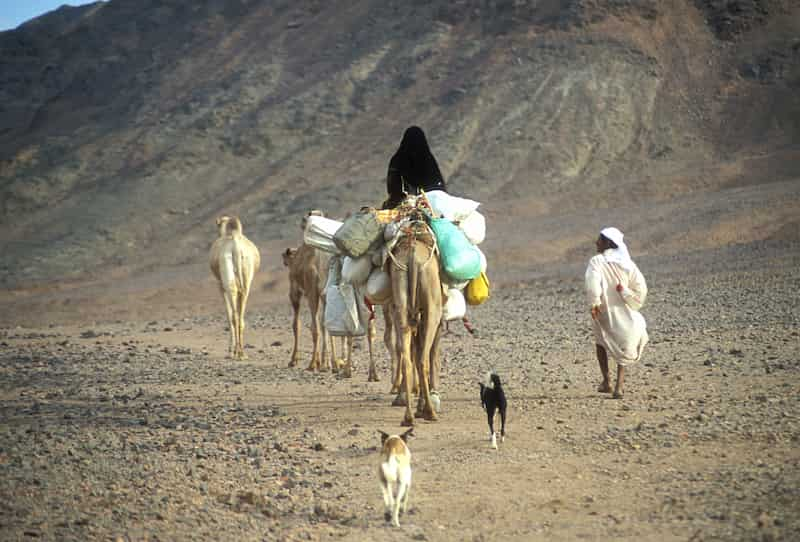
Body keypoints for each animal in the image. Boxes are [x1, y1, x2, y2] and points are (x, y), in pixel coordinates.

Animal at [211, 217, 260, 362]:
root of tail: (236, 247)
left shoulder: (220, 285)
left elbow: (228, 315)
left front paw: (230, 350)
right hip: (246, 280)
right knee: (241, 316)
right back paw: (242, 353)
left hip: (228, 281)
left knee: (234, 315)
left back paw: (235, 352)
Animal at [388, 218, 444, 430]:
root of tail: (412, 257)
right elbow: (431, 352)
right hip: (432, 307)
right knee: (422, 359)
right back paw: (429, 412)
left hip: (400, 299)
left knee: (407, 358)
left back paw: (409, 416)